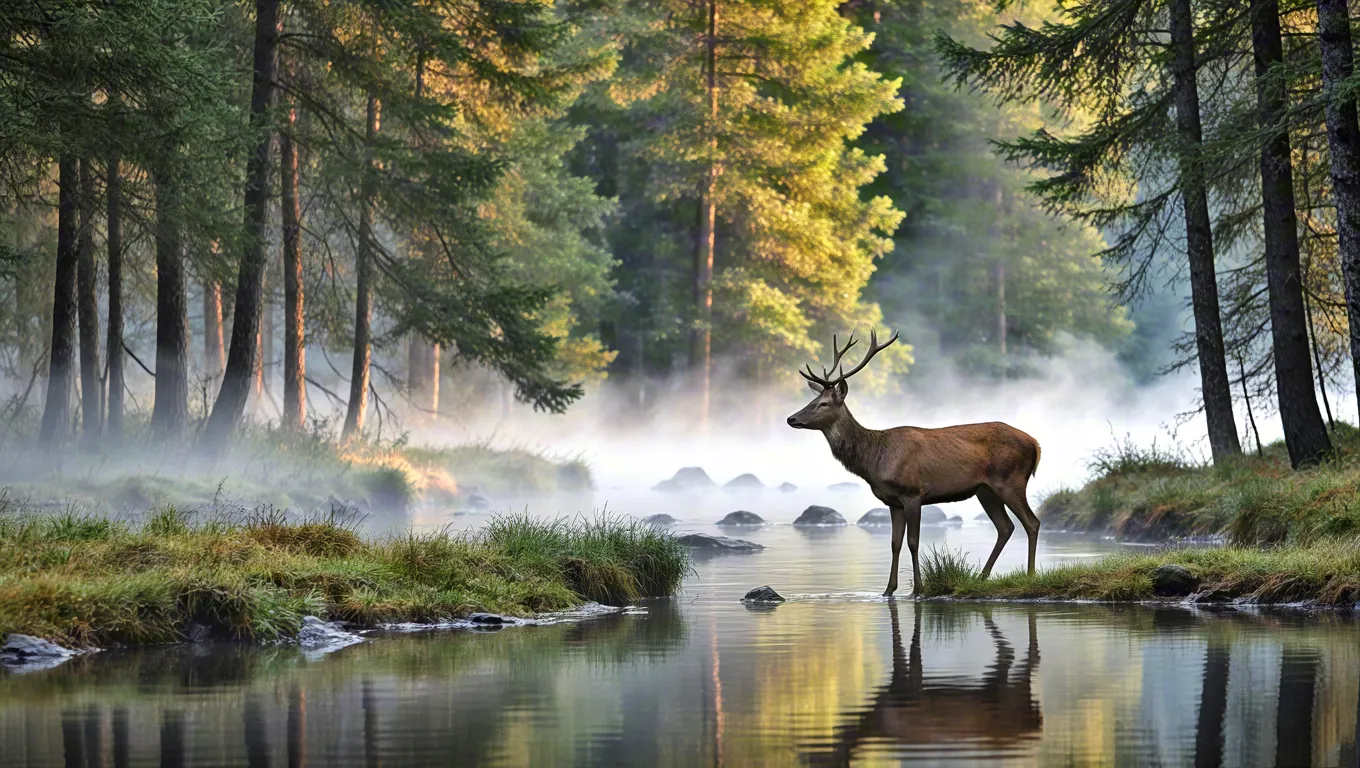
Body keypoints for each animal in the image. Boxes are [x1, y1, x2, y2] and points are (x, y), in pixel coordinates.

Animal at [786, 330, 1042, 597]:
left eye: (823, 403)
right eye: (812, 400)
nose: (791, 418)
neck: (874, 459)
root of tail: (1036, 445)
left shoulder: (912, 493)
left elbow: (913, 542)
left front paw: (918, 589)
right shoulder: (893, 502)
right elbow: (894, 543)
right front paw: (888, 590)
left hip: (1010, 480)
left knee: (1032, 522)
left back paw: (1030, 575)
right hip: (985, 490)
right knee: (1005, 527)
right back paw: (981, 578)